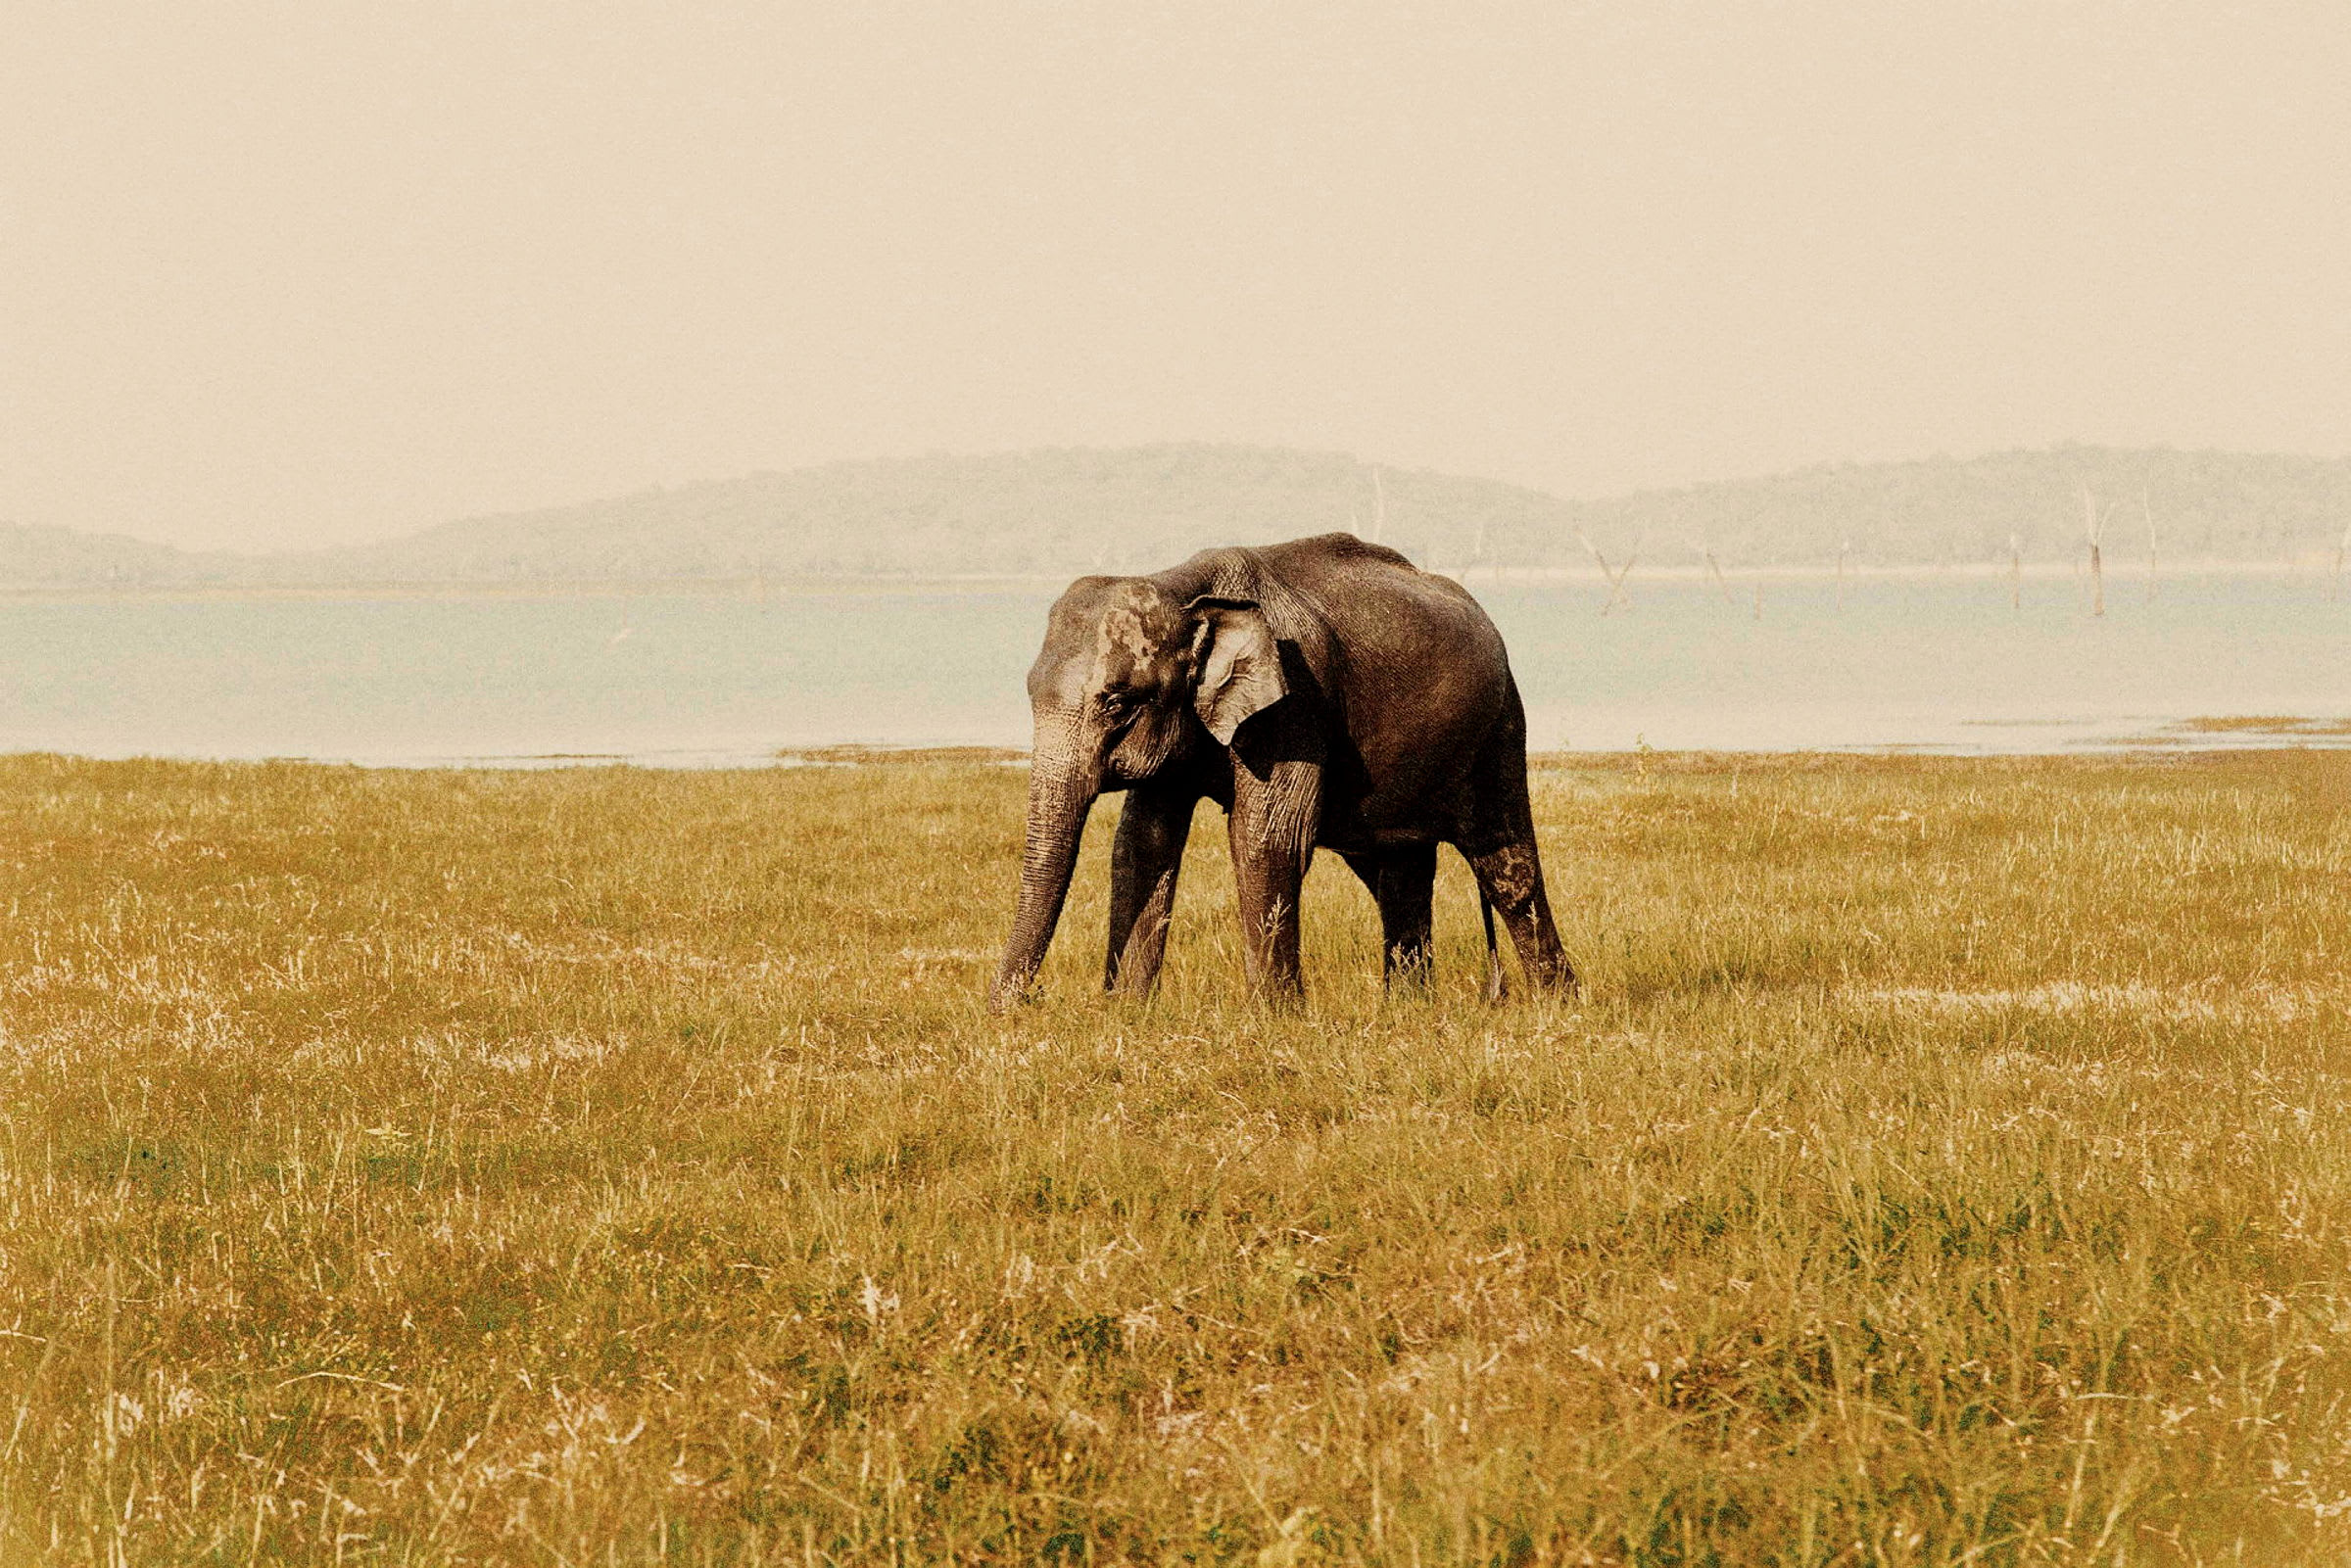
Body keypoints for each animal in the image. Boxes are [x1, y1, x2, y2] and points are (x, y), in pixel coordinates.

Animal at [990, 532, 1575, 1009]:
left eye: (1116, 703)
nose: (1027, 1002)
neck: (1183, 587)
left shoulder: (1295, 701)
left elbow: (1268, 840)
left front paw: (1274, 1018)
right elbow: (1142, 844)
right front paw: (1128, 1013)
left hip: (1499, 727)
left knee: (1505, 865)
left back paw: (1556, 1005)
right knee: (1396, 874)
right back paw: (1411, 1009)